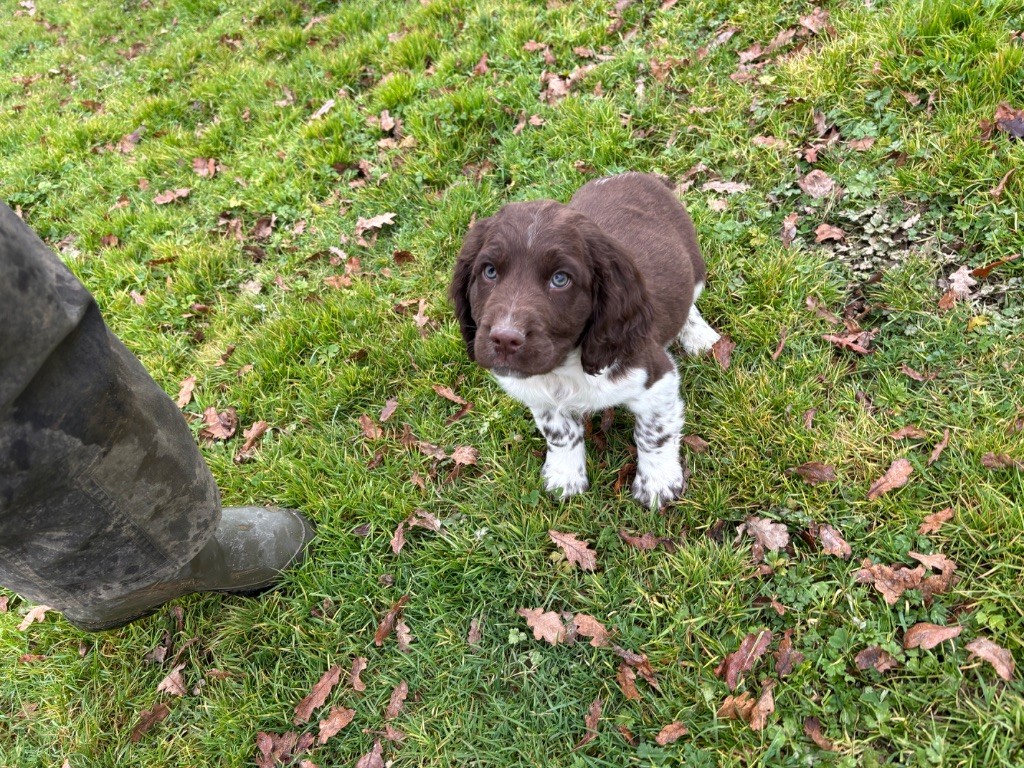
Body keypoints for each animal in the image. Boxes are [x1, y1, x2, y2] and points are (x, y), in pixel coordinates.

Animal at [448, 175, 720, 512]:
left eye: (560, 279)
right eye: (489, 271)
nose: (504, 339)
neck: (565, 368)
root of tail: (634, 174)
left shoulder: (657, 378)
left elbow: (653, 434)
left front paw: (658, 483)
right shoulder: (537, 393)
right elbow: (560, 433)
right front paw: (565, 476)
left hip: (694, 267)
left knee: (689, 304)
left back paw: (699, 336)